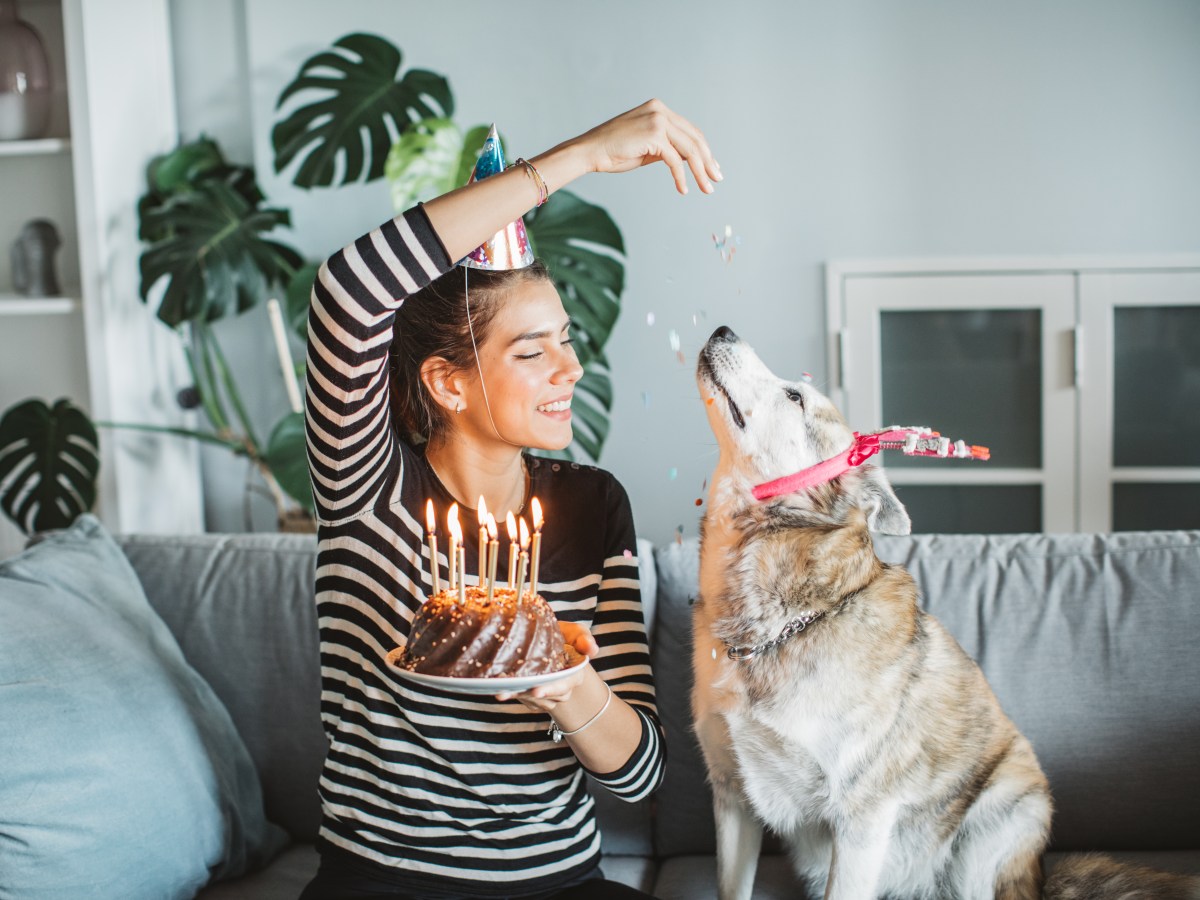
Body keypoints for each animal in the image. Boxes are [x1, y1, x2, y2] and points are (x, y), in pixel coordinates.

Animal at [691, 326, 1195, 900]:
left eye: (795, 397)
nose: (724, 329)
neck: (777, 624)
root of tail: (1040, 878)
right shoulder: (731, 799)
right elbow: (732, 886)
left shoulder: (860, 819)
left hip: (994, 827)